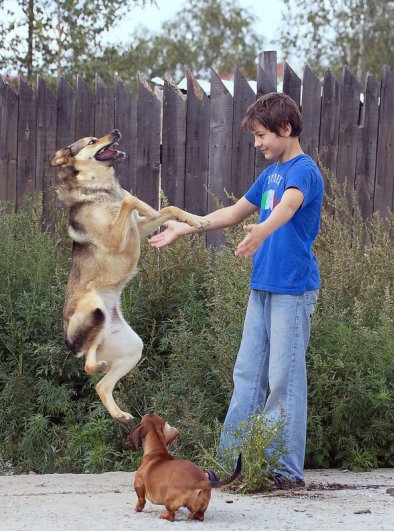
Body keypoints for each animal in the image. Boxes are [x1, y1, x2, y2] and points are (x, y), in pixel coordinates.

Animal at [50, 130, 209, 424]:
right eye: (91, 141)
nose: (115, 132)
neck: (101, 189)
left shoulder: (136, 228)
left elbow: (170, 210)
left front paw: (197, 221)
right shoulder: (116, 235)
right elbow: (131, 200)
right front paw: (149, 206)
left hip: (131, 347)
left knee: (100, 383)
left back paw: (119, 413)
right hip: (94, 309)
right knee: (87, 365)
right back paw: (98, 369)